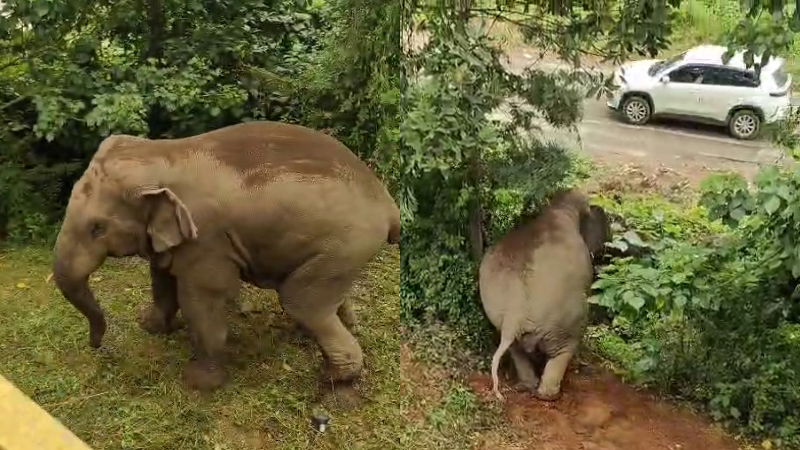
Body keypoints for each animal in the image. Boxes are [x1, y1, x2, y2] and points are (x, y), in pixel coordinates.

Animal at [52, 120, 400, 392]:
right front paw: (150, 325)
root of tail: (388, 205)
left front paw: (198, 383)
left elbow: (201, 298)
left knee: (302, 301)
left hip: (345, 244)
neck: (163, 153)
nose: (97, 346)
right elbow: (161, 276)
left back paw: (333, 379)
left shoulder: (206, 237)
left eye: (97, 228)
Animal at [478, 189, 610, 401]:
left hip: (500, 317)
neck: (559, 208)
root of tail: (514, 315)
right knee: (564, 348)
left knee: (516, 350)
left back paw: (526, 386)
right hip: (562, 323)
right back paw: (549, 394)